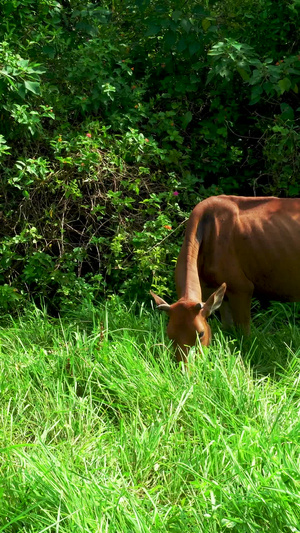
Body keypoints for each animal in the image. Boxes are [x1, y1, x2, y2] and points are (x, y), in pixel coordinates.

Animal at [151, 195, 300, 362]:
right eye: (169, 335)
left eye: (201, 333)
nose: (185, 367)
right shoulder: (216, 290)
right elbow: (227, 329)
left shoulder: (241, 288)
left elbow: (244, 334)